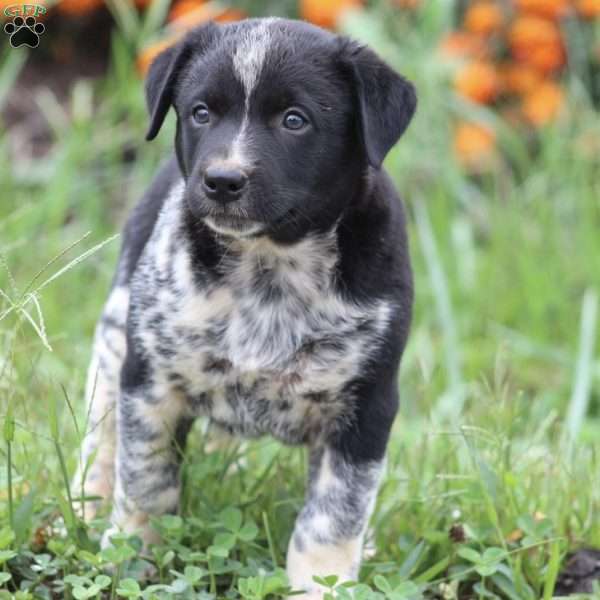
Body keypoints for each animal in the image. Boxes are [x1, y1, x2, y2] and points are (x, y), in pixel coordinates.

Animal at [72, 16, 414, 596]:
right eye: (201, 112)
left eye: (295, 120)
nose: (222, 180)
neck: (269, 268)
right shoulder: (150, 381)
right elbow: (146, 480)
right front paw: (131, 557)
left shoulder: (366, 407)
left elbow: (332, 516)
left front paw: (321, 583)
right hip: (114, 339)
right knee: (103, 437)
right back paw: (88, 504)